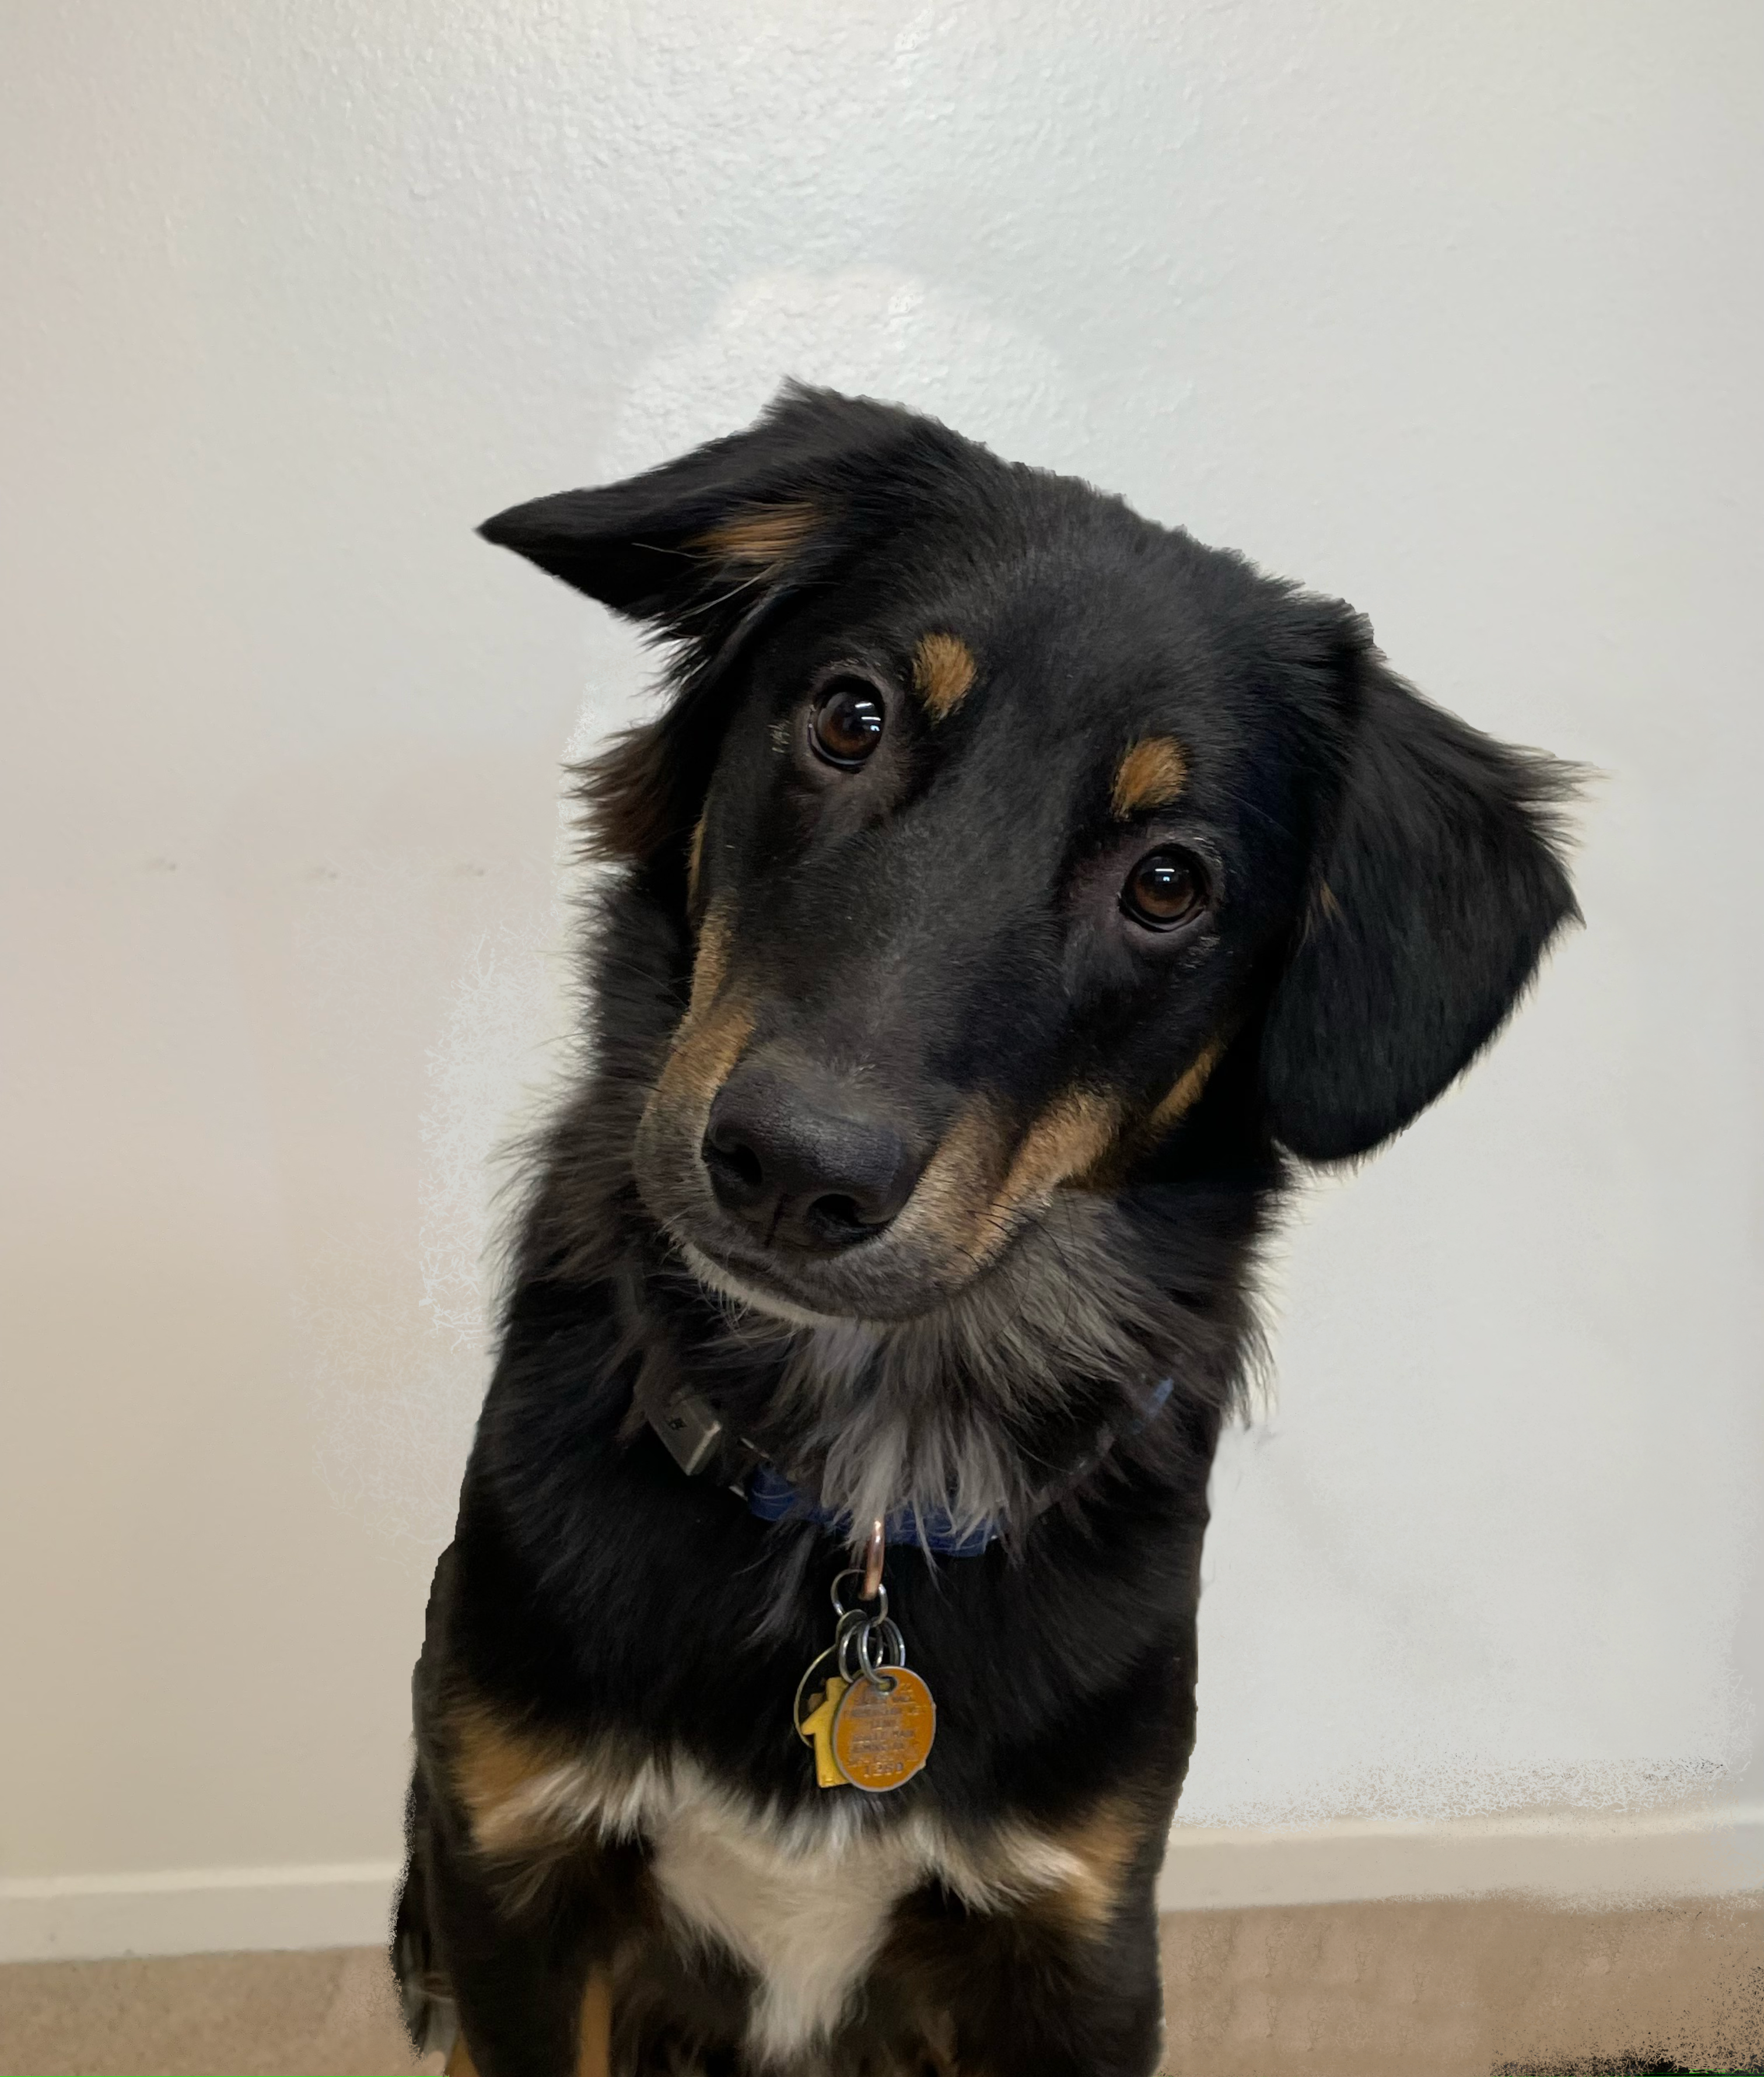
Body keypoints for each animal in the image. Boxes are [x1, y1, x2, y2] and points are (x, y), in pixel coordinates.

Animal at [393, 382, 1578, 2068]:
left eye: (1169, 881)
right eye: (850, 718)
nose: (792, 1170)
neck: (861, 1499)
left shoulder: (1077, 1938)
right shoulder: (523, 1880)